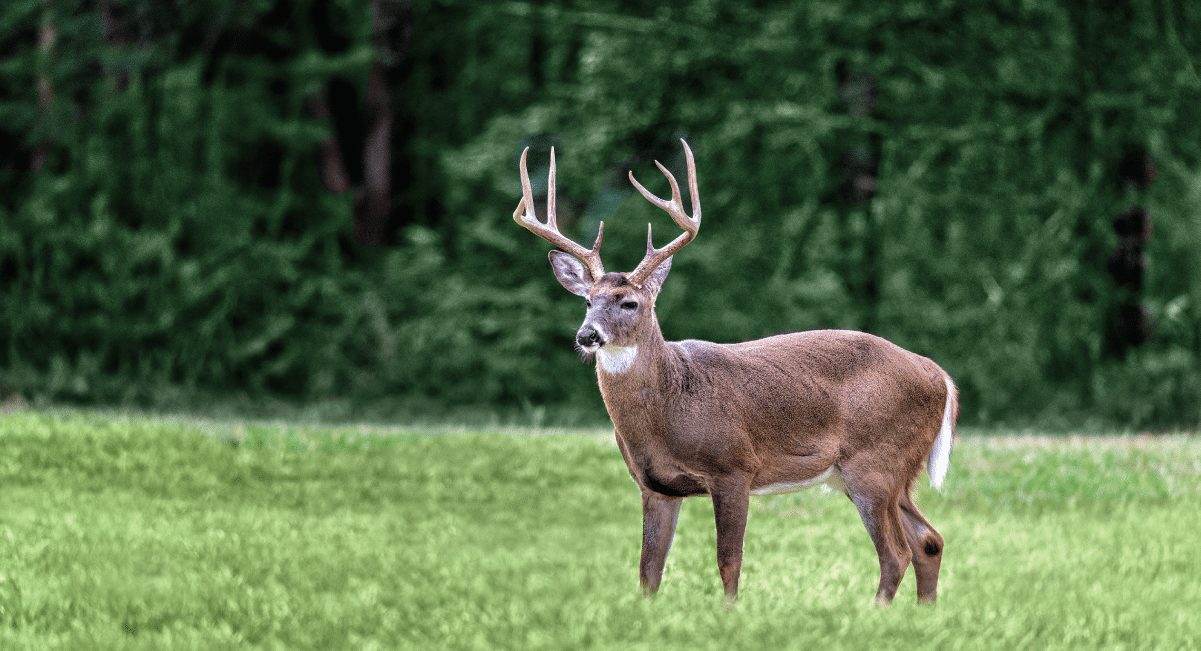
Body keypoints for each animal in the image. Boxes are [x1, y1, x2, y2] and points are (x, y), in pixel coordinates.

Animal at [512, 139, 958, 607]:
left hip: (875, 461)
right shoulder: (654, 485)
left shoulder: (733, 467)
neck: (672, 403)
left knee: (896, 552)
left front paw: (729, 612)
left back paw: (875, 613)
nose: (587, 335)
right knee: (929, 541)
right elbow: (648, 571)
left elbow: (729, 560)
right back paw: (923, 612)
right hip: (889, 473)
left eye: (629, 303)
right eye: (587, 301)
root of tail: (939, 375)